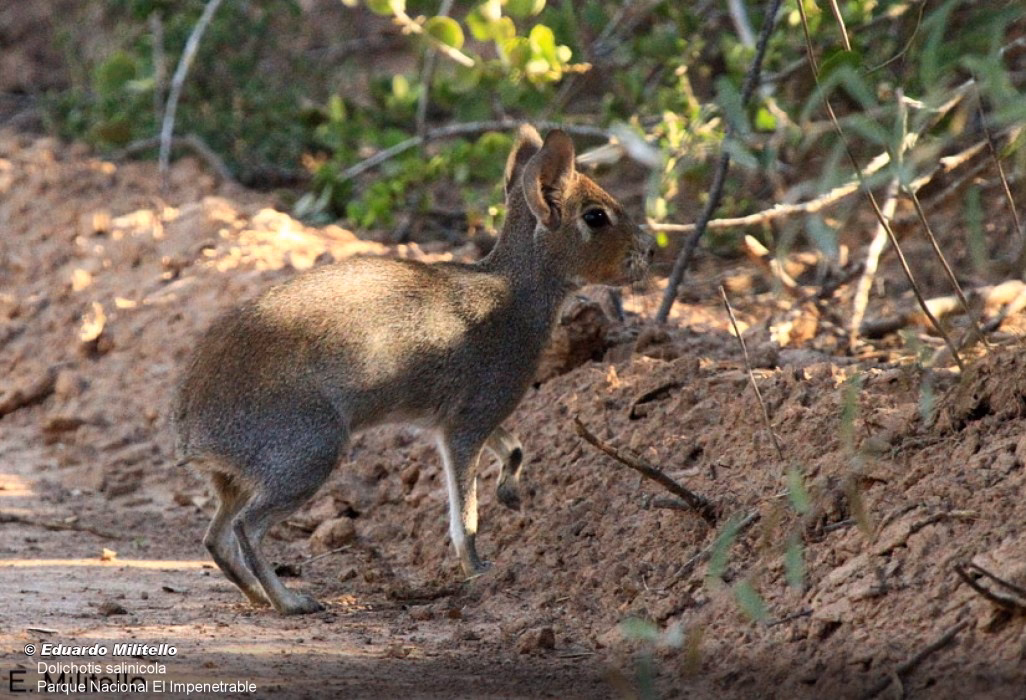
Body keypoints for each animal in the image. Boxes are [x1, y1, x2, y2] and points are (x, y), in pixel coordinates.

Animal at [171, 125, 655, 614]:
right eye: (595, 217)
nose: (649, 250)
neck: (517, 295)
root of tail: (193, 431)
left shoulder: (461, 420)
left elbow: (514, 448)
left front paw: (510, 494)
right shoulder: (468, 423)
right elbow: (466, 513)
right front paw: (478, 570)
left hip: (239, 479)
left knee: (216, 538)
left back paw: (258, 596)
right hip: (308, 453)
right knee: (246, 529)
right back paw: (292, 601)